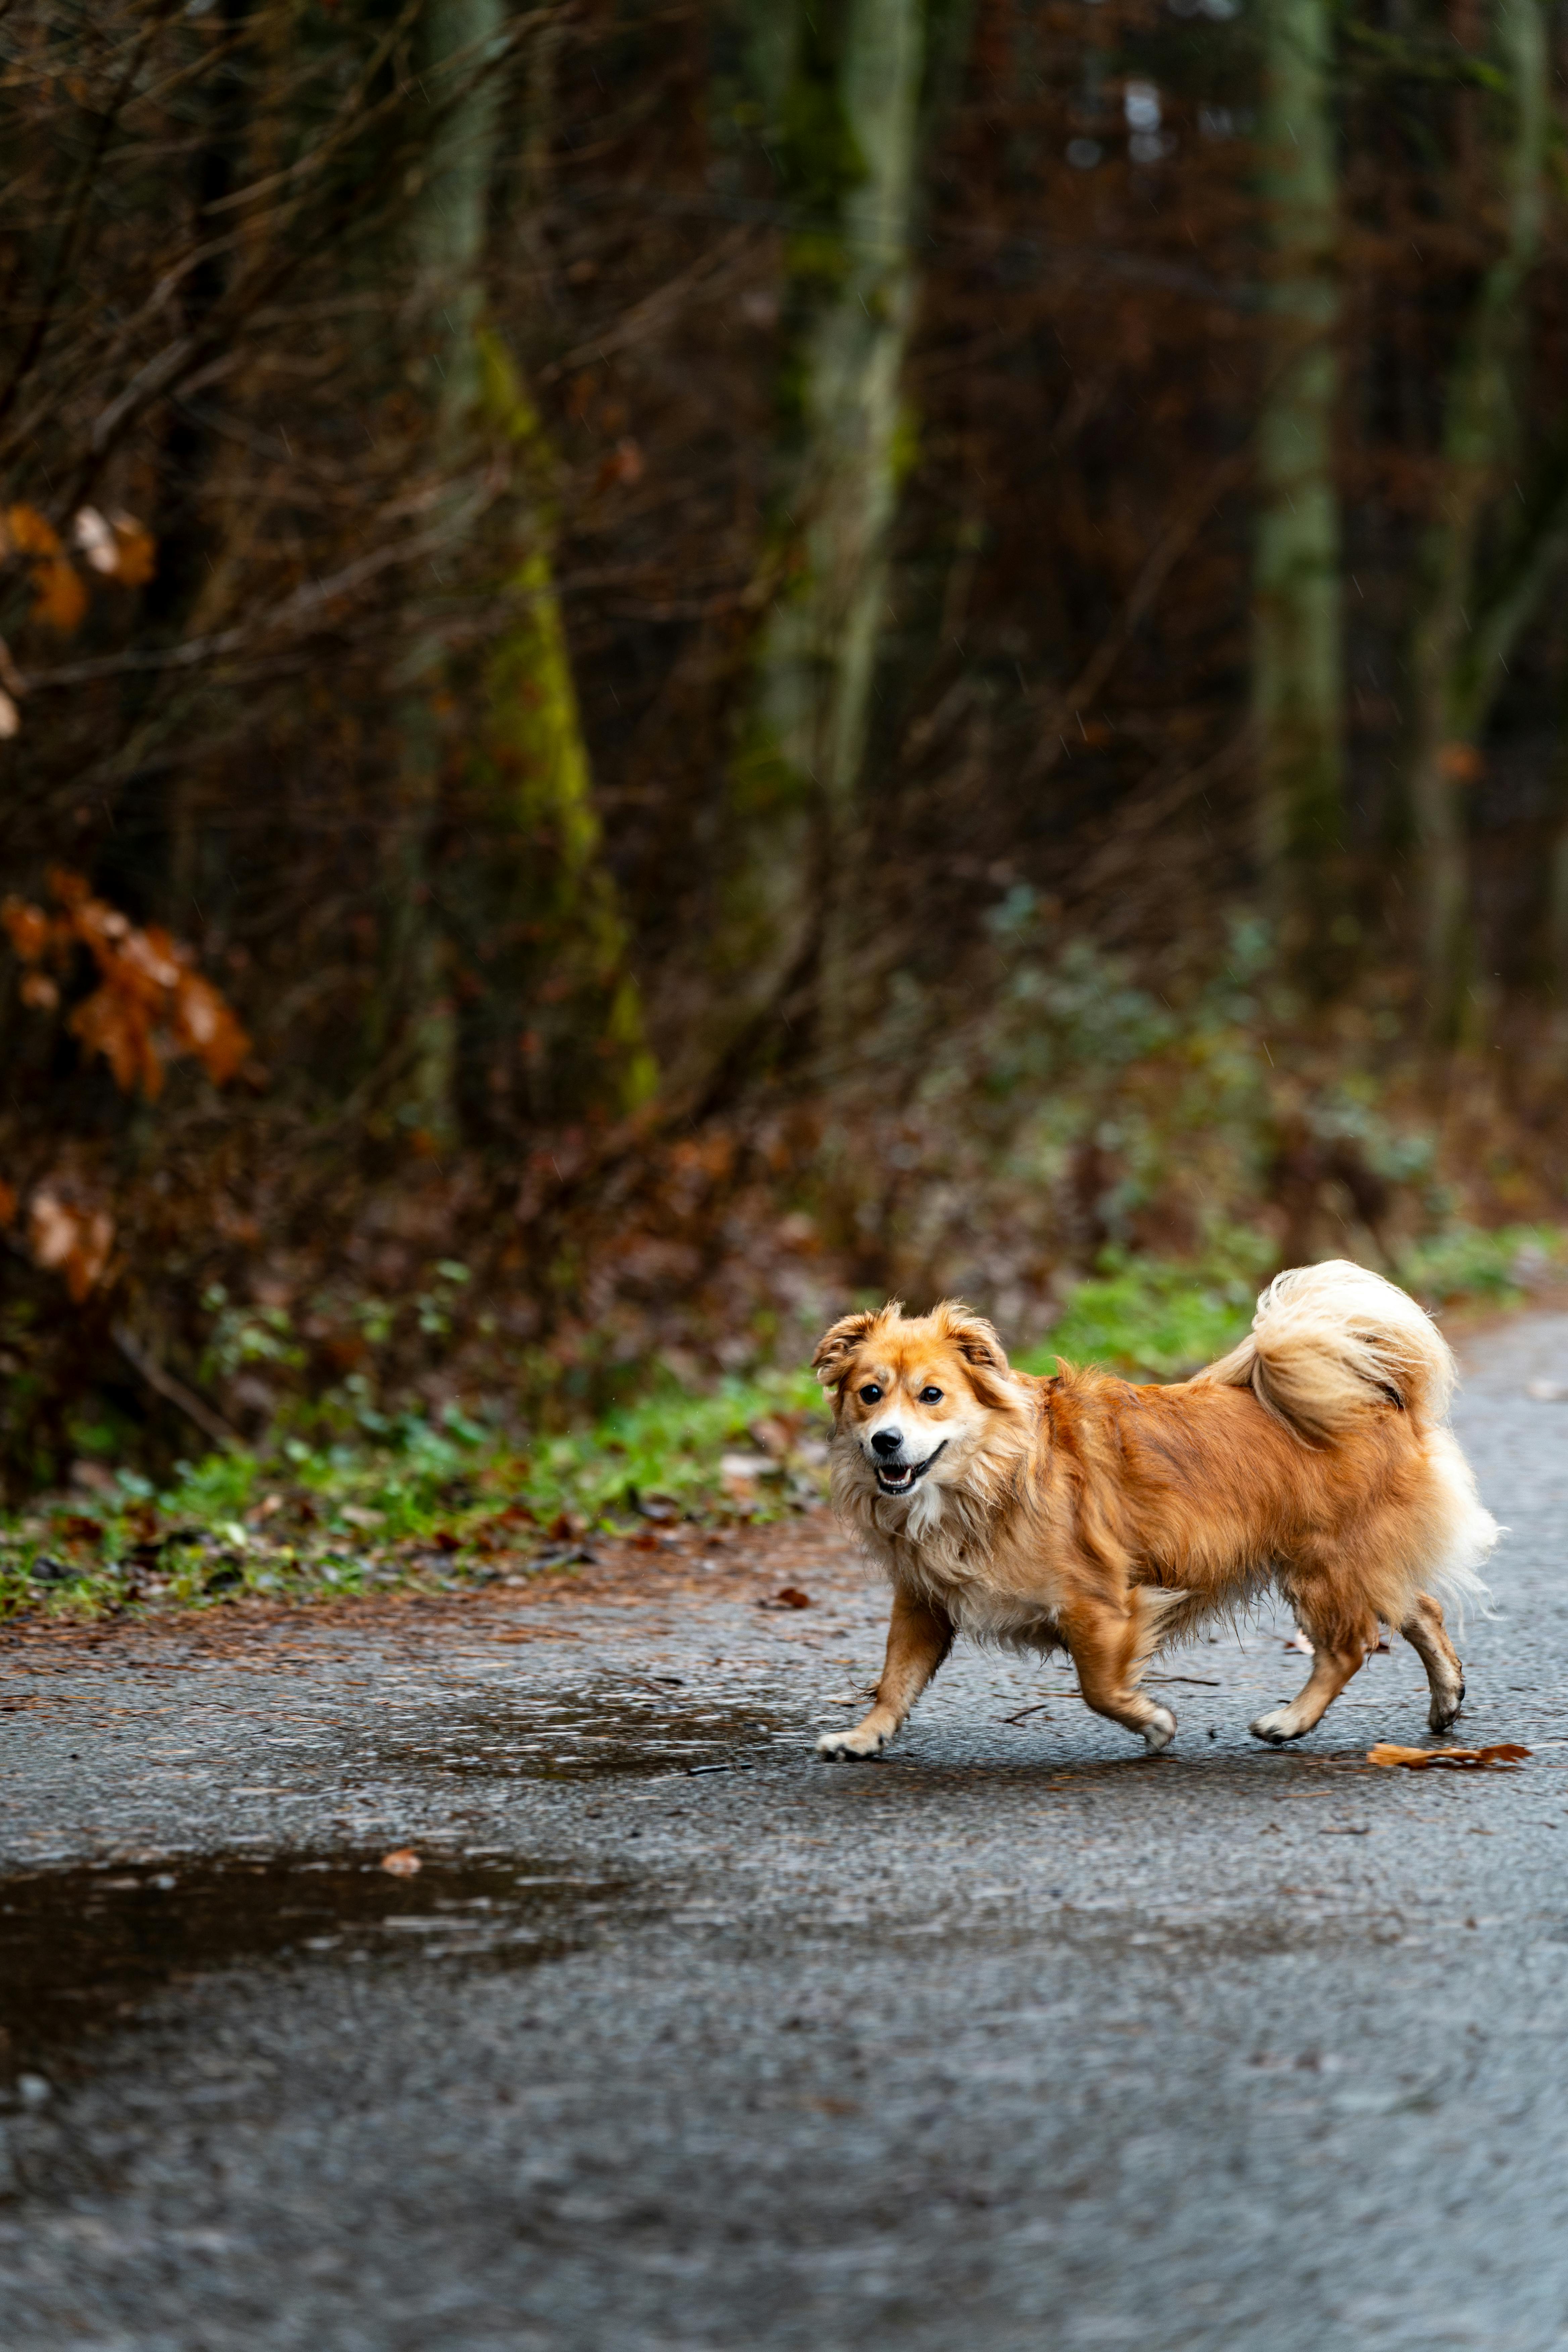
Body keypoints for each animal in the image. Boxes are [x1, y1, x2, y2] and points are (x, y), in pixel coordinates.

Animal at [818, 1261, 1504, 1759]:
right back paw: (1446, 1698)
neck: (987, 1475)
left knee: (1350, 1646)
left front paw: (1153, 1722)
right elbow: (896, 1677)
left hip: (1323, 1565)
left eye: (932, 1395)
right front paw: (866, 1734)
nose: (885, 1441)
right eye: (870, 1394)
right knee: (1421, 1608)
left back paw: (1290, 1721)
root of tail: (1383, 1398)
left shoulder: (1098, 1604)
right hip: (1357, 1561)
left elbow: (1098, 1687)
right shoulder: (923, 1602)